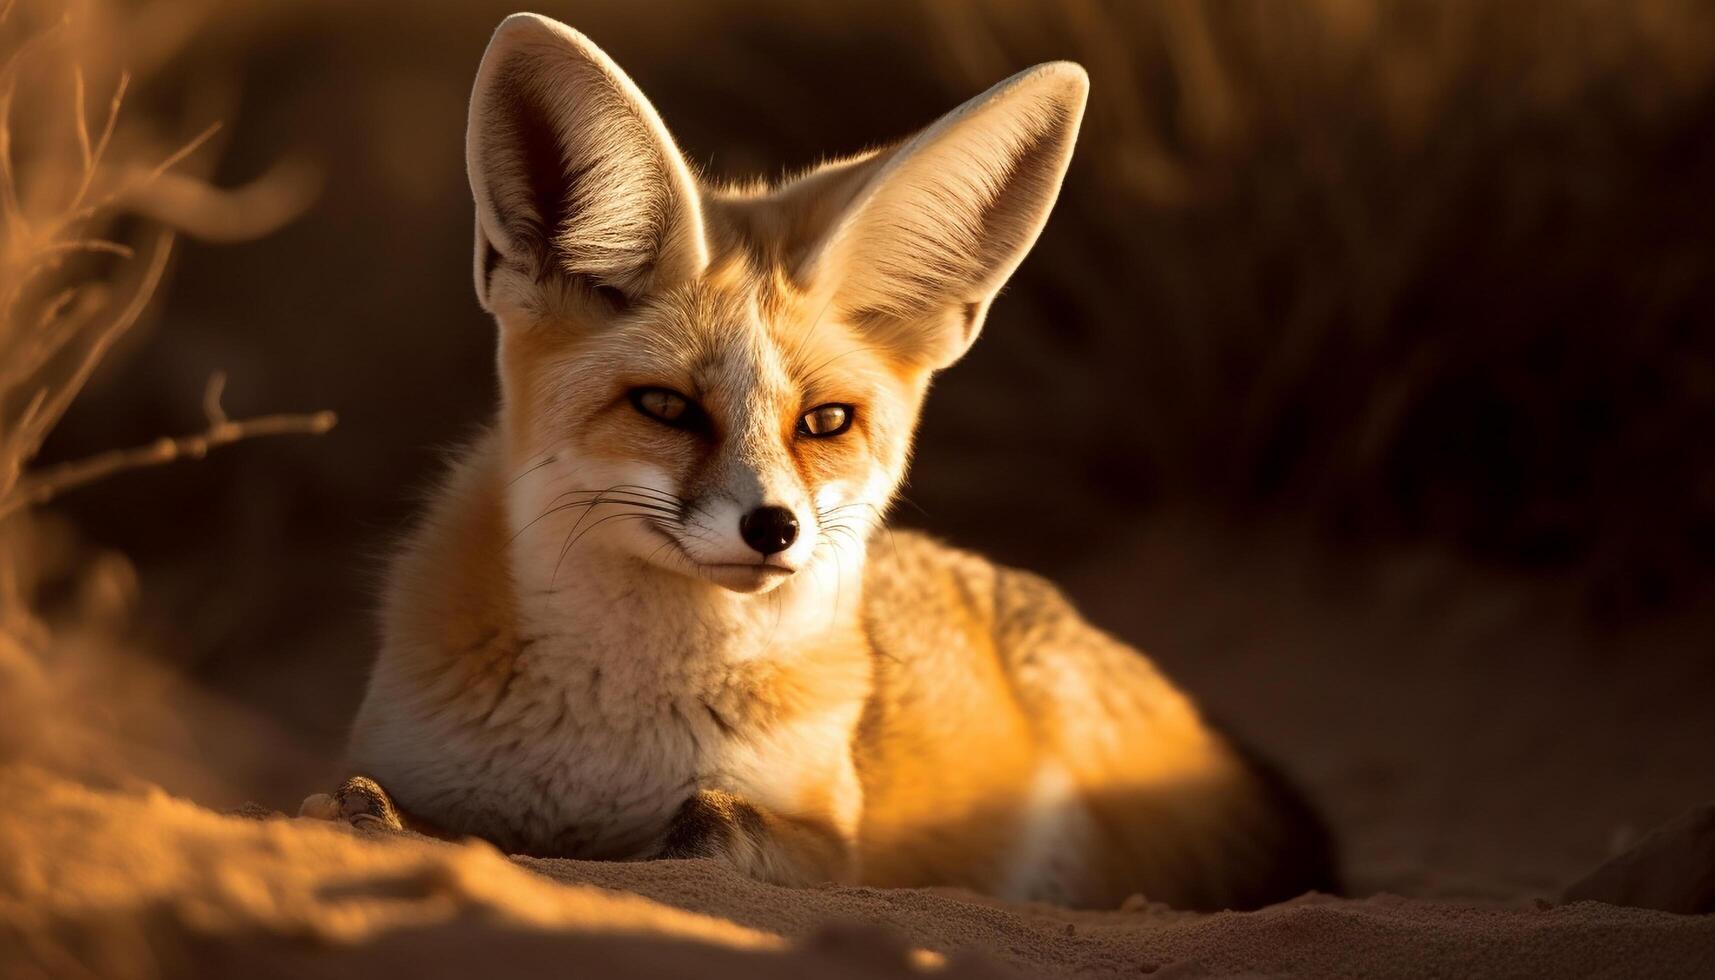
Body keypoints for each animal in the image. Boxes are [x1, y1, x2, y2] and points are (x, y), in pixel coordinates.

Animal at [315, 11, 1344, 913]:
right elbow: (363, 806)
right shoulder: (400, 757)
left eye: (824, 421)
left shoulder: (820, 835)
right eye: (666, 407)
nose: (773, 528)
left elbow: (709, 822)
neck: (606, 738)